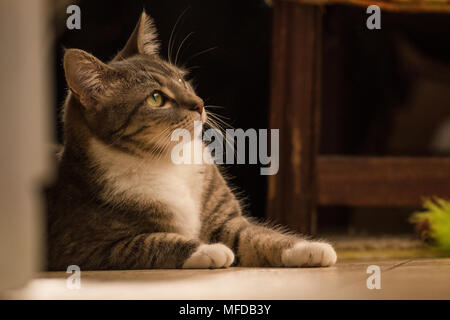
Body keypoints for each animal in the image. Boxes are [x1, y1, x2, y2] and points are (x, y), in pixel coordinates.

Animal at [46, 10, 338, 270]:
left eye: (181, 79)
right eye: (156, 98)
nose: (199, 104)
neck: (165, 161)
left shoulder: (225, 219)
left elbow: (259, 236)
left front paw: (308, 248)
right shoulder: (83, 247)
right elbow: (150, 242)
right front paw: (207, 250)